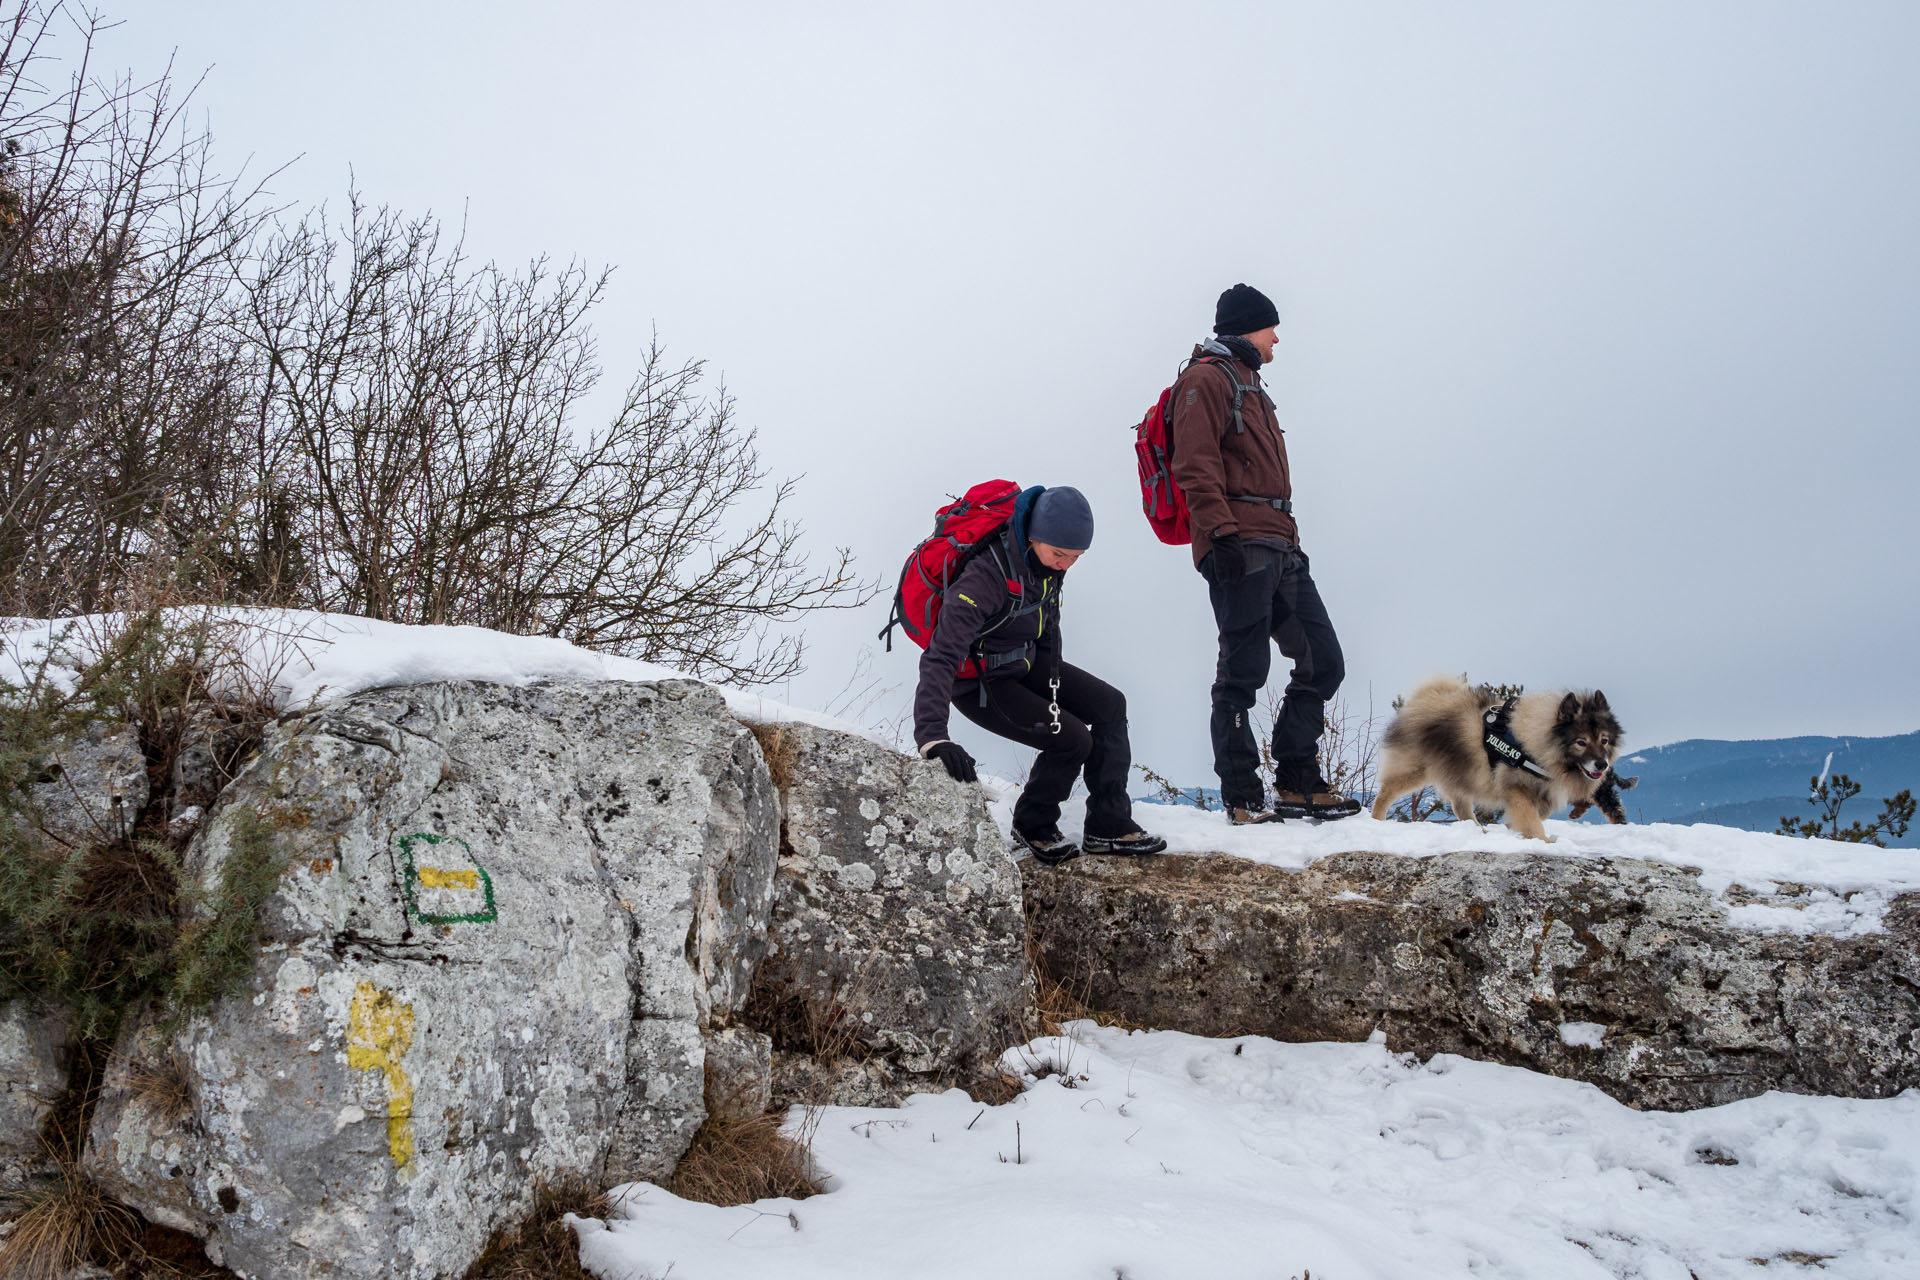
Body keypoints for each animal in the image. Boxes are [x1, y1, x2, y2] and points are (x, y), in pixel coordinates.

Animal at [1374, 675, 1628, 844]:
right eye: (1581, 742)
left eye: (1604, 740)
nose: (1602, 764)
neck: (1539, 743)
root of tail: (1425, 697)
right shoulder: (1517, 787)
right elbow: (1531, 817)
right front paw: (1543, 841)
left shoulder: (1541, 790)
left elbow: (1537, 814)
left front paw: (1513, 828)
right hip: (1416, 769)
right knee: (1386, 792)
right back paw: (1377, 819)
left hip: (1460, 771)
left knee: (1461, 806)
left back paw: (1479, 831)